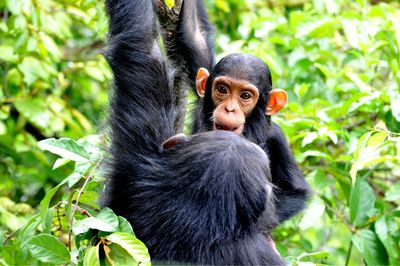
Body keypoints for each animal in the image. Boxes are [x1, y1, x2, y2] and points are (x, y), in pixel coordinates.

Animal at [158, 0, 310, 223]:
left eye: (245, 96)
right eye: (222, 89)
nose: (229, 108)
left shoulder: (277, 138)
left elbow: (296, 191)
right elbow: (195, 34)